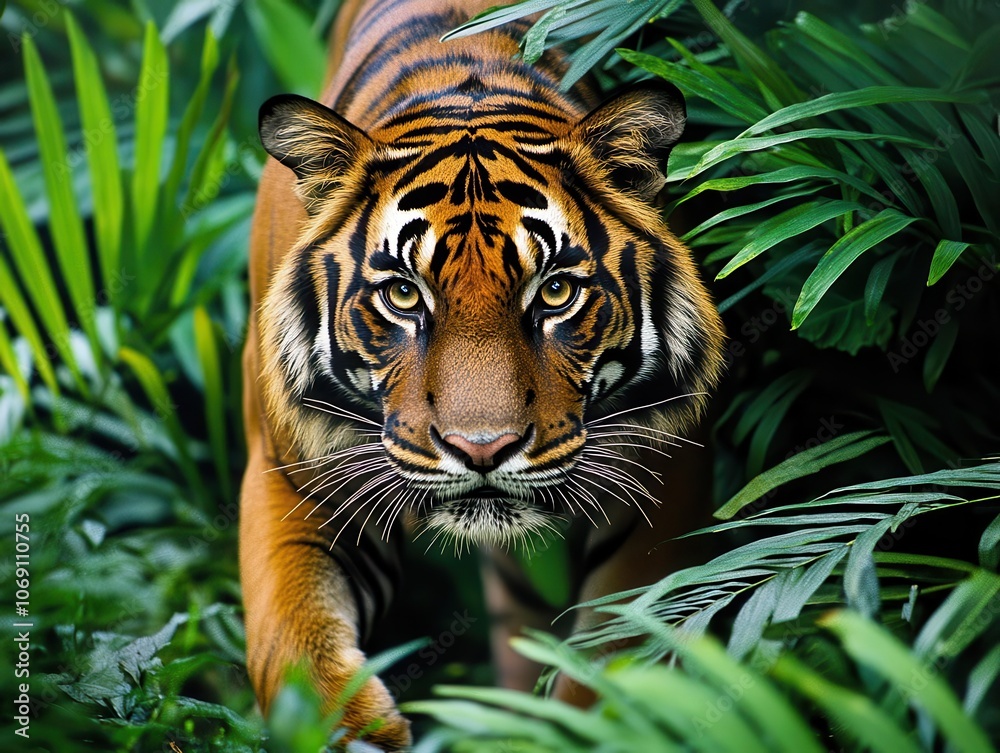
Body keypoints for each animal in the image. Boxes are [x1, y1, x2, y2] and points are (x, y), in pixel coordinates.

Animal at [240, 0, 725, 748]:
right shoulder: (286, 474)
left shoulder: (663, 484)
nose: (482, 449)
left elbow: (613, 667)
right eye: (403, 295)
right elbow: (289, 645)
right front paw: (357, 728)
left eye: (555, 292)